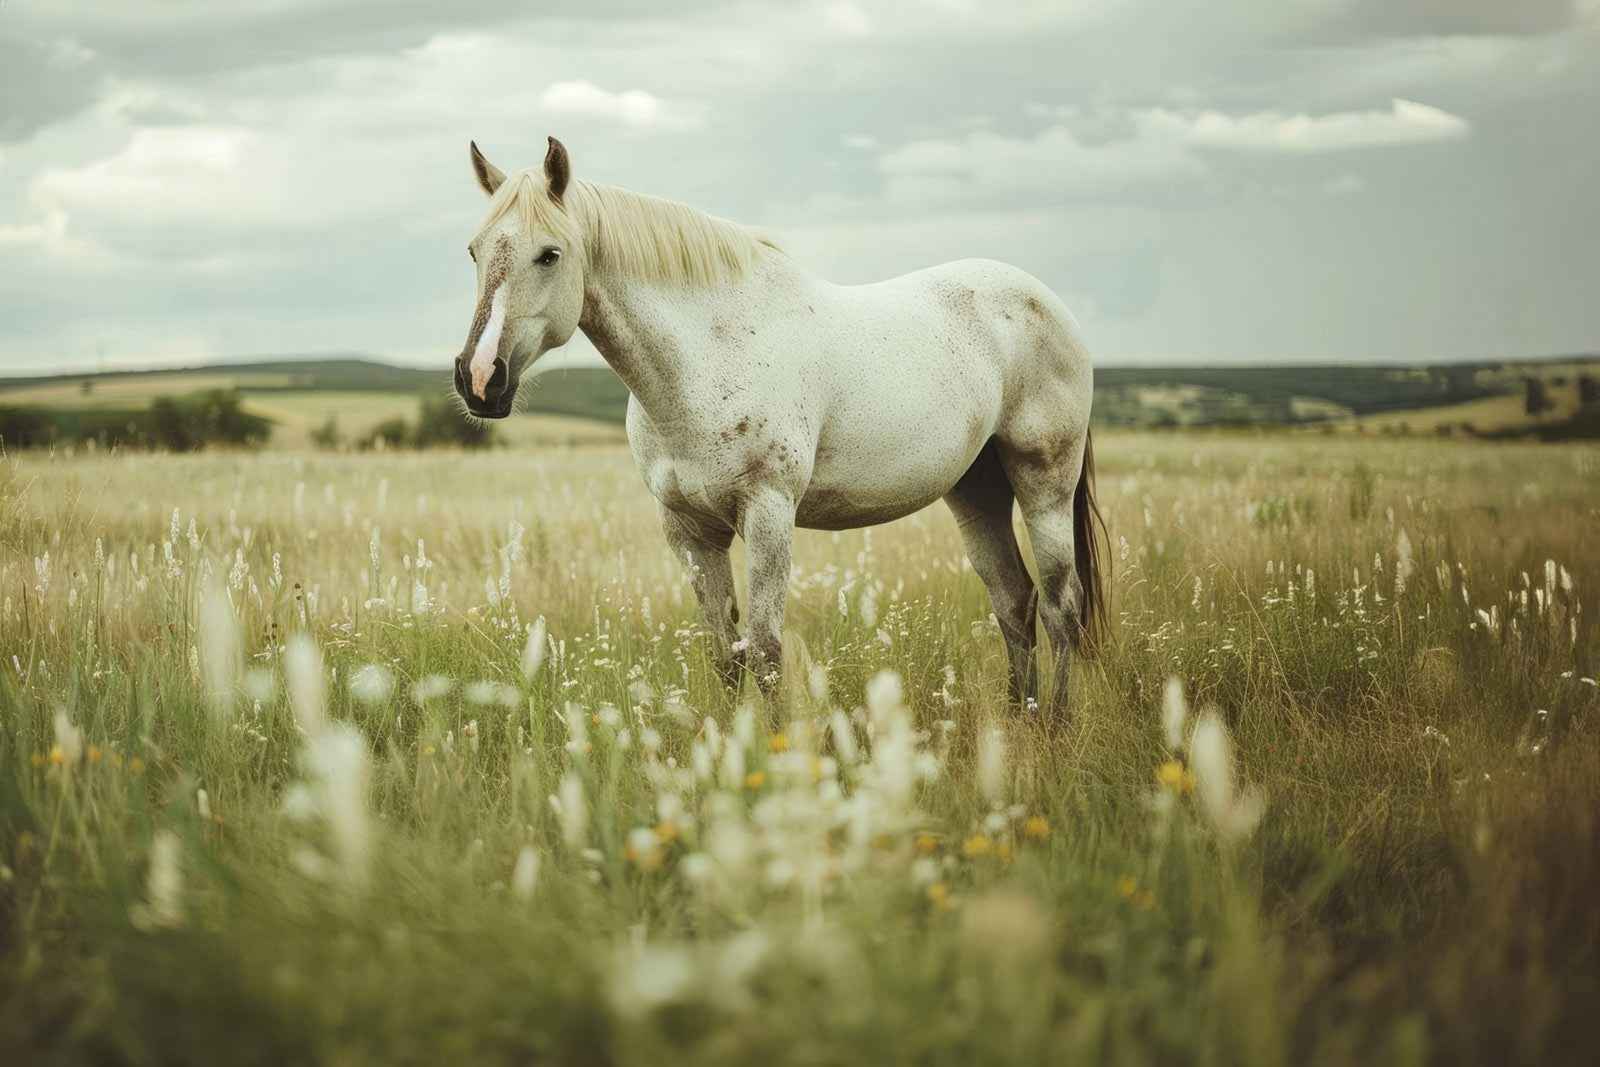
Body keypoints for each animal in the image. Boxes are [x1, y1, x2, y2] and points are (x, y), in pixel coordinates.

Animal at [455, 136, 1105, 716]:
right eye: (474, 252)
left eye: (549, 254)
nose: (479, 378)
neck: (706, 354)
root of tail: (1046, 301)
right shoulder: (689, 531)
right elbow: (725, 655)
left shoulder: (767, 513)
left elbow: (765, 653)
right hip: (976, 490)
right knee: (1013, 602)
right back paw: (1023, 721)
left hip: (1044, 485)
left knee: (1059, 605)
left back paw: (1057, 729)